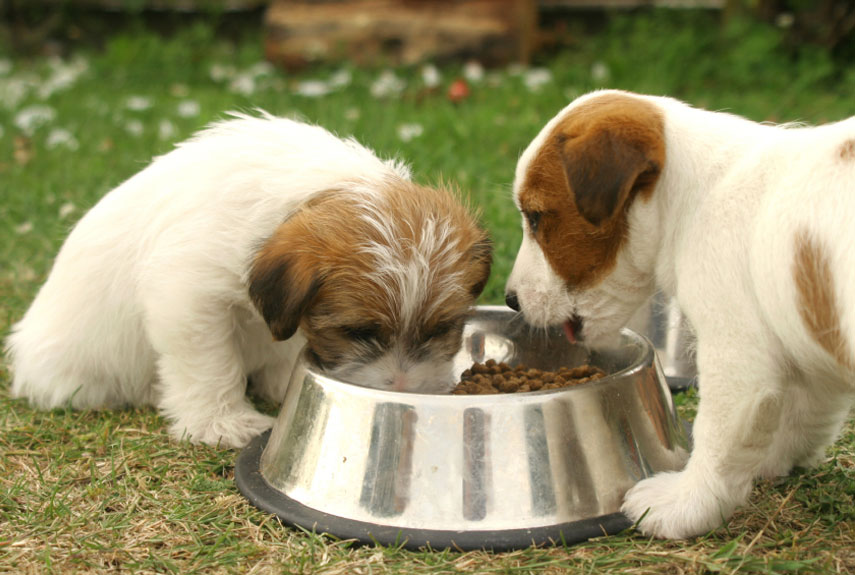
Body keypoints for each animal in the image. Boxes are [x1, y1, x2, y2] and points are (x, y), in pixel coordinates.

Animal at [6, 112, 492, 450]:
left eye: (442, 329)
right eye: (356, 332)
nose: (406, 388)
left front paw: (280, 384)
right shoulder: (187, 297)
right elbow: (210, 365)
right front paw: (222, 423)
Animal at [504, 90, 855, 540]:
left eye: (535, 218)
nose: (510, 299)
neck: (691, 196)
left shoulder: (736, 359)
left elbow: (718, 440)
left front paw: (684, 504)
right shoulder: (807, 339)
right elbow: (803, 415)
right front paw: (771, 461)